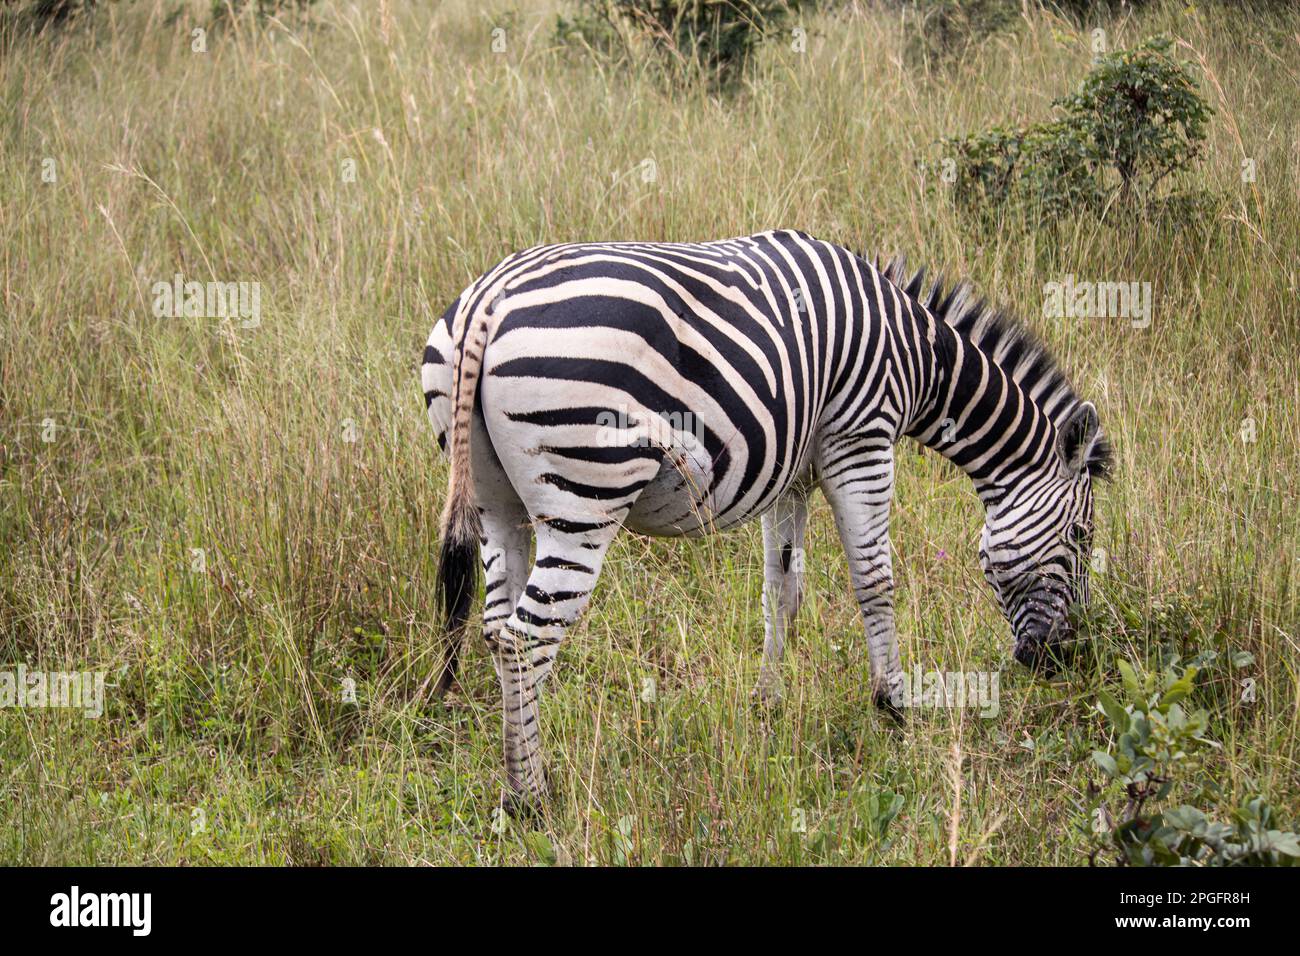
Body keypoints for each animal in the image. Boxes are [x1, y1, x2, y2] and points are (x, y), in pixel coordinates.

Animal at [421, 227, 1112, 811]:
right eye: (1080, 538)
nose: (1060, 661)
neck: (917, 354)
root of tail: (489, 297)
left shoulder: (790, 475)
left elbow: (781, 591)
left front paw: (768, 705)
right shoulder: (861, 437)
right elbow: (875, 581)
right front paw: (894, 707)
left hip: (494, 500)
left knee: (495, 628)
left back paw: (518, 783)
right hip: (584, 495)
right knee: (526, 638)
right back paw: (530, 798)